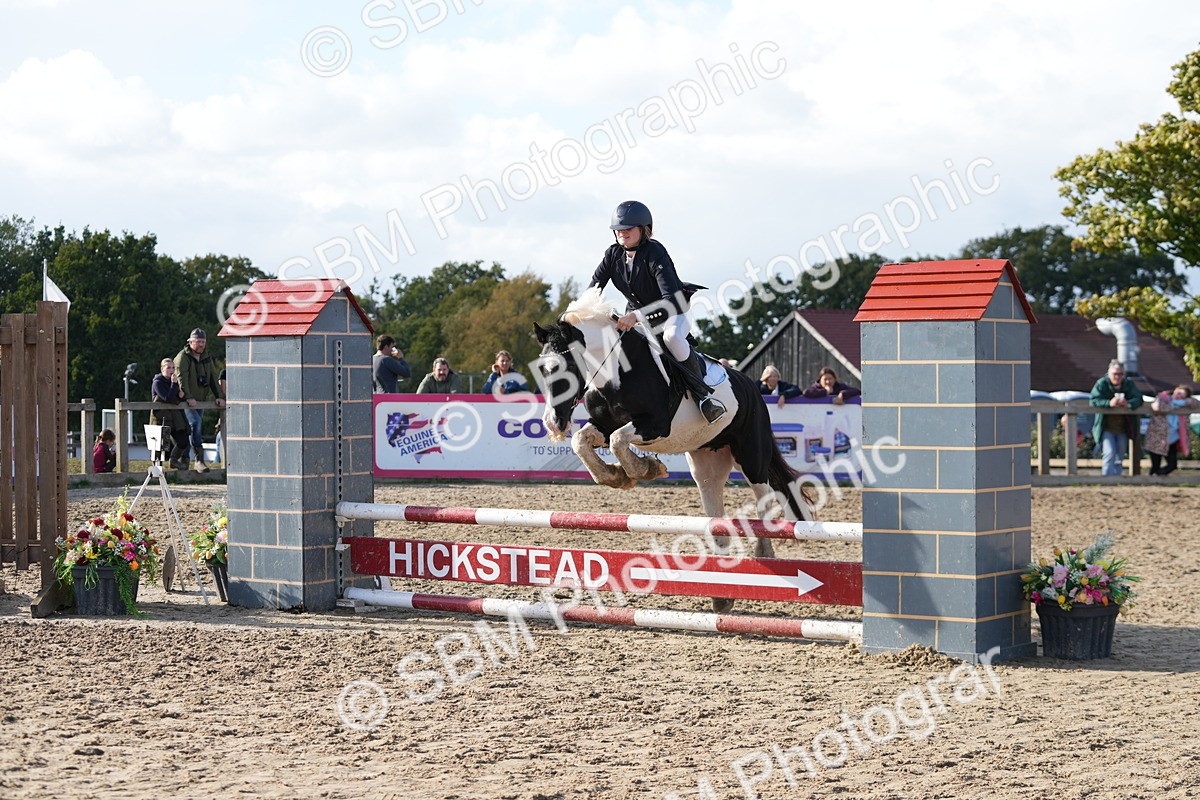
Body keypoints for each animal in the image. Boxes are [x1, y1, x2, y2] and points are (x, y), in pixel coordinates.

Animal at [533, 289, 813, 611]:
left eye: (564, 369)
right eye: (542, 370)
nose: (553, 423)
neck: (616, 371)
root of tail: (751, 386)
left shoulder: (655, 425)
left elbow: (618, 439)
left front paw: (644, 469)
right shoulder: (601, 425)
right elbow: (583, 441)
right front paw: (616, 476)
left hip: (751, 455)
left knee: (763, 501)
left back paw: (763, 555)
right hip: (706, 464)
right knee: (717, 515)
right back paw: (723, 594)